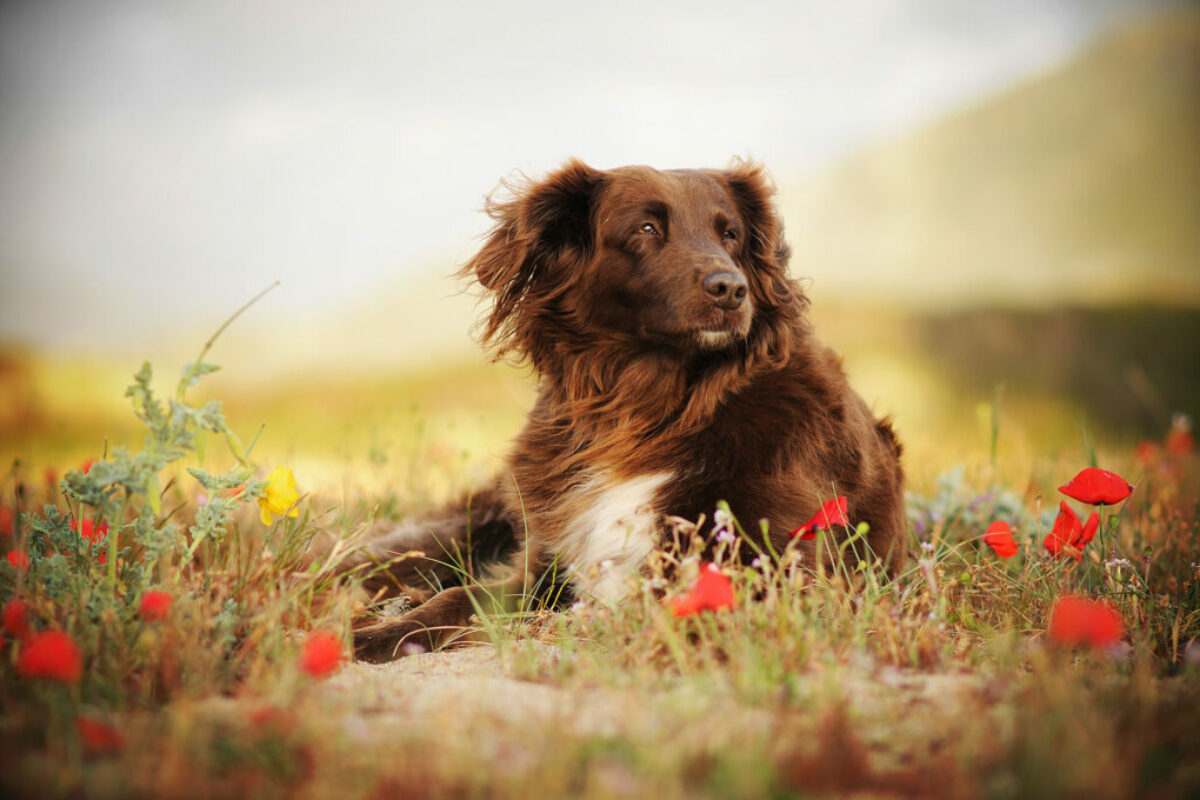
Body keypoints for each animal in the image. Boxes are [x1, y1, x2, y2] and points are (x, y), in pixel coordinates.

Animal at [350, 158, 902, 662]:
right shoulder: (545, 565)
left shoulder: (779, 573)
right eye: (647, 228)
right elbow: (459, 598)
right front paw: (377, 636)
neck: (649, 409)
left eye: (731, 235)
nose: (731, 288)